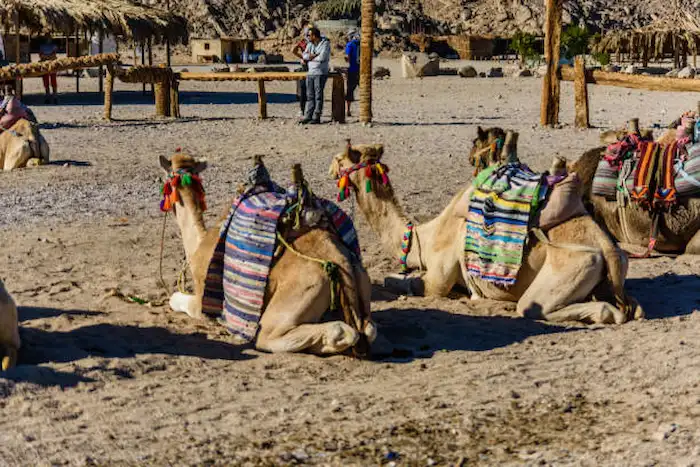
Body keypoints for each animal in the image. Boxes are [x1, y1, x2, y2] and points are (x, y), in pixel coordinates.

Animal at [159, 153, 376, 355]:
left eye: (164, 180)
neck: (200, 242)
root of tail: (340, 260)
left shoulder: (202, 302)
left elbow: (175, 299)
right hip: (360, 283)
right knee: (368, 329)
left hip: (296, 299)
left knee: (275, 336)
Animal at [330, 139, 644, 325]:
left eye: (340, 158)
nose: (331, 169)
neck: (423, 236)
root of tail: (609, 250)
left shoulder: (437, 280)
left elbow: (397, 281)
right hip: (618, 269)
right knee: (632, 306)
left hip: (574, 265)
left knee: (538, 308)